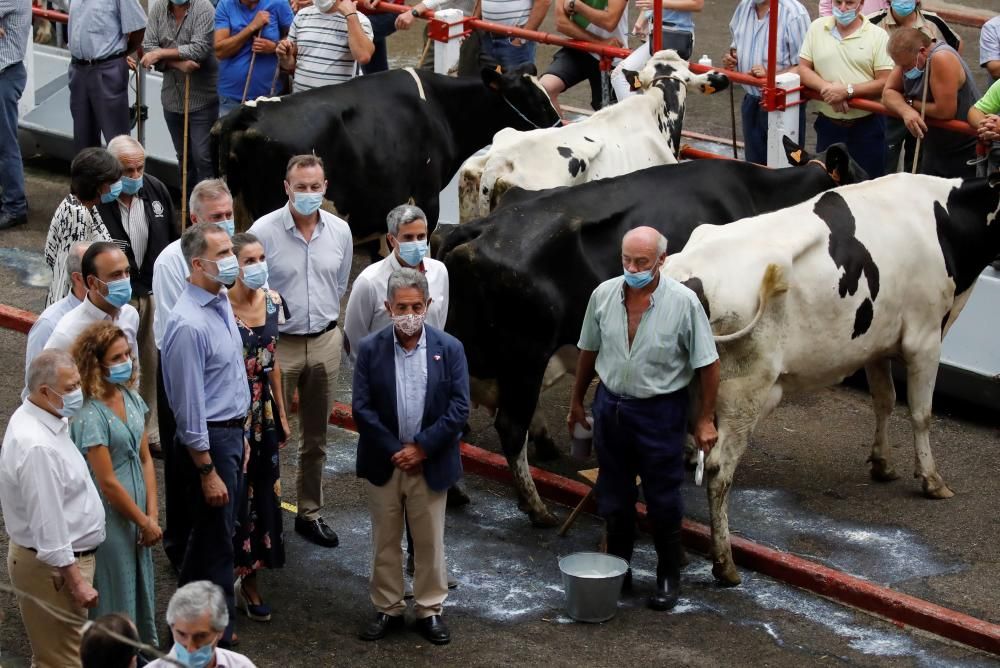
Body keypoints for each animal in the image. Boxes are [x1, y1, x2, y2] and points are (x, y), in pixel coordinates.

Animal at [438, 142, 868, 528]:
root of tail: (477, 229)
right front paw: (691, 450)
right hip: (526, 353)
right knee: (511, 427)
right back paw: (537, 508)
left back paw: (458, 491)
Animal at [664, 172, 1000, 584]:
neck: (944, 218)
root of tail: (683, 273)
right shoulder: (924, 338)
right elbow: (921, 414)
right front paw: (932, 480)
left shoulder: (877, 342)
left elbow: (884, 400)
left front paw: (882, 463)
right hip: (744, 390)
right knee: (717, 469)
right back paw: (725, 564)